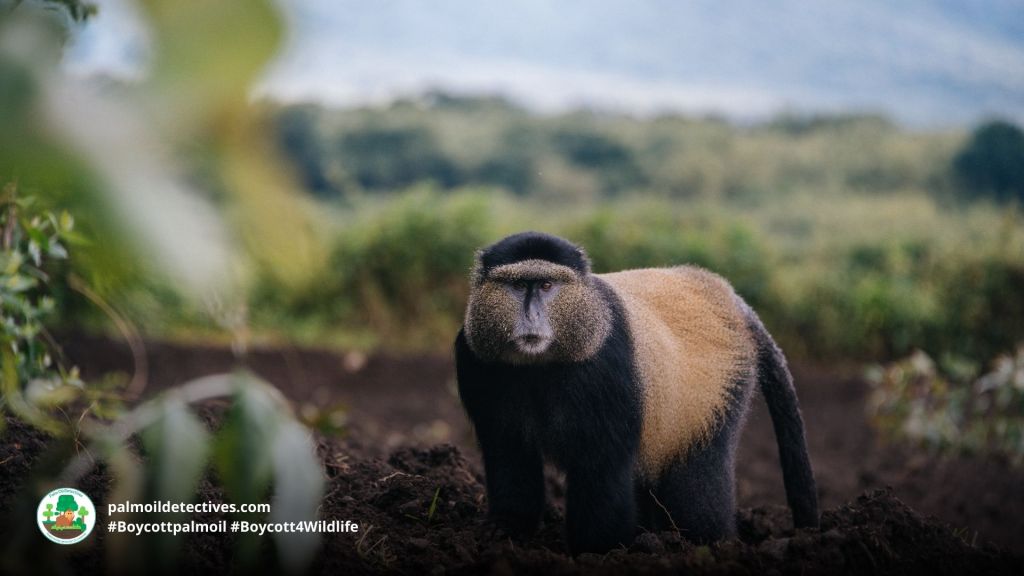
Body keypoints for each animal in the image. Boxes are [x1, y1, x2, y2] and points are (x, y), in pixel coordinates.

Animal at [455, 231, 818, 554]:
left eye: (546, 285)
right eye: (518, 285)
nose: (531, 316)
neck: (540, 365)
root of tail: (722, 293)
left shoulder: (608, 366)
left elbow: (603, 464)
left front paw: (597, 550)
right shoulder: (475, 361)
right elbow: (509, 452)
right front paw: (507, 527)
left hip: (723, 391)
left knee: (698, 481)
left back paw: (710, 543)